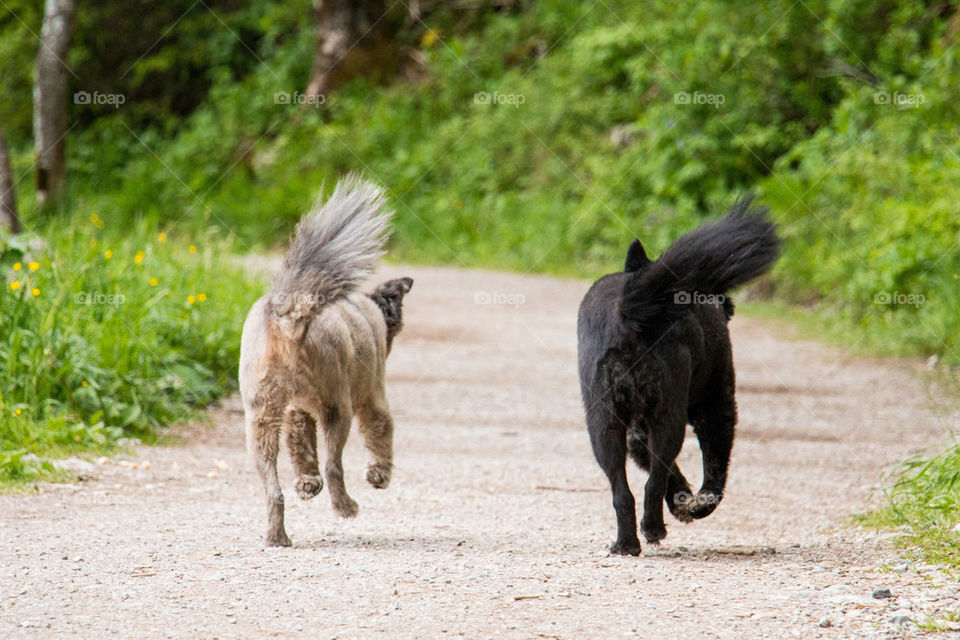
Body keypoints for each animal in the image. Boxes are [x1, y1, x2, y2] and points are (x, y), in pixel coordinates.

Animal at [240, 178, 412, 548]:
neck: (367, 310)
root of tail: (287, 318)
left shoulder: (296, 413)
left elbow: (302, 451)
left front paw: (307, 483)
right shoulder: (374, 399)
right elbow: (381, 434)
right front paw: (379, 475)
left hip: (262, 419)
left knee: (274, 489)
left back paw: (277, 535)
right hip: (338, 407)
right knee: (335, 465)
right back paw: (346, 506)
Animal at [576, 196, 780, 556]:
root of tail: (629, 313)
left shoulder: (636, 432)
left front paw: (682, 501)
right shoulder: (717, 406)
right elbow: (714, 472)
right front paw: (694, 506)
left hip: (604, 422)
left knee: (623, 490)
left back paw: (626, 544)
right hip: (668, 414)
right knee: (654, 481)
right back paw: (654, 528)